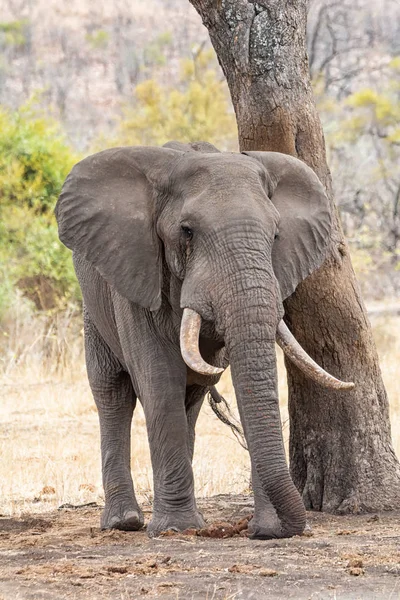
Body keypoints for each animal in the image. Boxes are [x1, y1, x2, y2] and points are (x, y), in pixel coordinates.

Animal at [55, 139, 354, 540]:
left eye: (276, 235)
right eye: (187, 231)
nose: (268, 530)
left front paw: (265, 528)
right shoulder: (137, 273)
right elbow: (158, 379)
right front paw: (175, 529)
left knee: (192, 394)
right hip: (94, 307)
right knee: (112, 391)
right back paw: (125, 522)